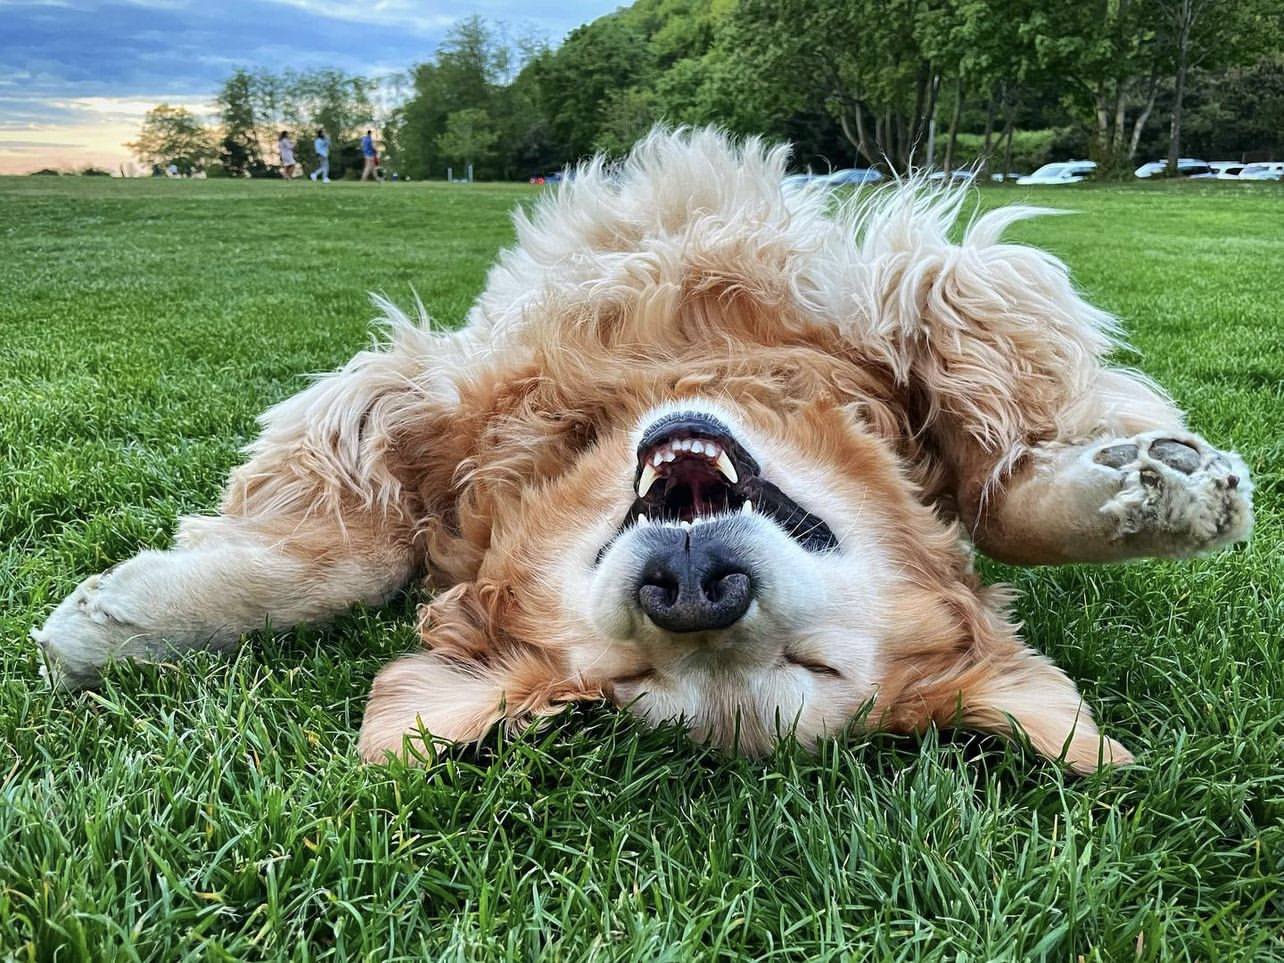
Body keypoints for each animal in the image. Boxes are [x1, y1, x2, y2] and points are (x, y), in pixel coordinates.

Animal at [32, 130, 1253, 775]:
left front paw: (1148, 495)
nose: (694, 588)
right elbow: (356, 553)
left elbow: (996, 480)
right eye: (629, 675)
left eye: (811, 669)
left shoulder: (926, 290)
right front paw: (127, 621)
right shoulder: (430, 389)